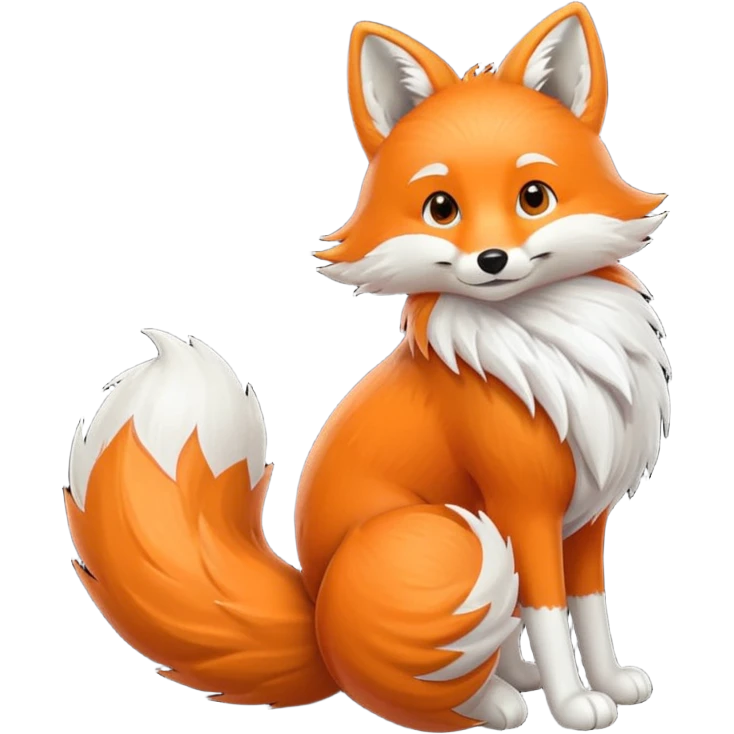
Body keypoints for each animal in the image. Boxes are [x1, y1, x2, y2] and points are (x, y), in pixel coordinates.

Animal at [64, 3, 670, 732]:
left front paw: (609, 681)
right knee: (406, 684)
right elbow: (552, 617)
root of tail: (315, 622)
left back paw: (512, 676)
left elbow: (590, 609)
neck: (547, 338)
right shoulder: (522, 508)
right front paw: (574, 703)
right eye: (441, 208)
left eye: (534, 196)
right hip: (454, 538)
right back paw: (495, 702)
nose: (492, 260)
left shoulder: (587, 517)